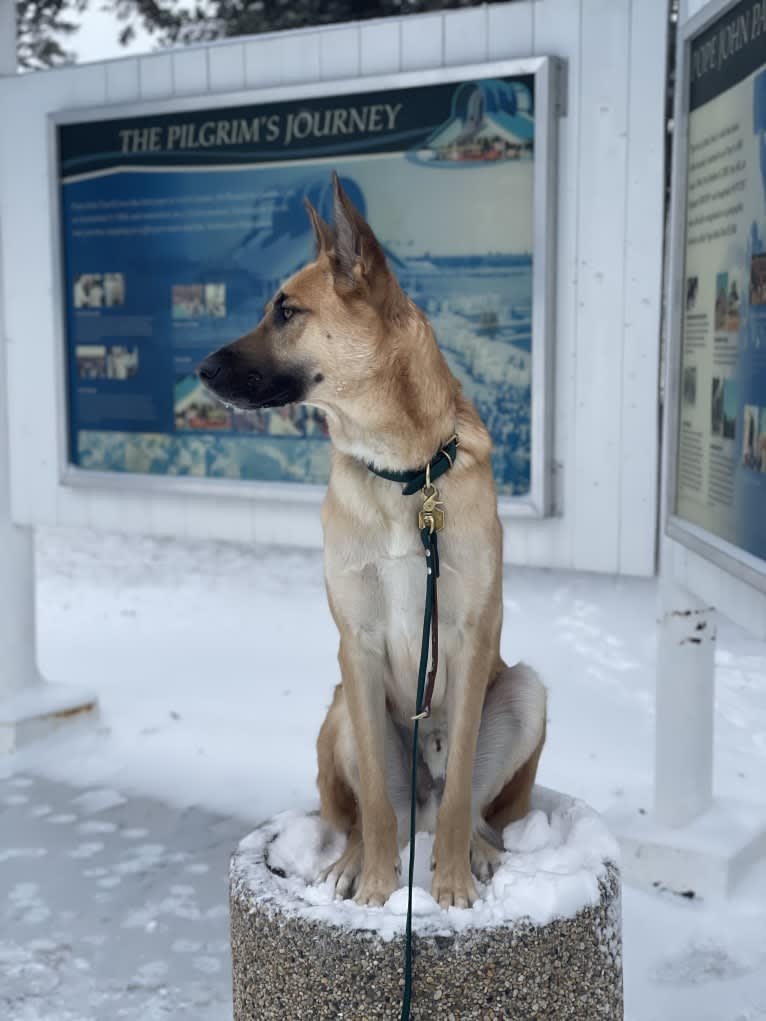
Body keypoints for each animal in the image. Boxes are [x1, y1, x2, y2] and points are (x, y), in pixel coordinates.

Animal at [198, 173, 547, 910]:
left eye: (286, 311)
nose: (201, 371)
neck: (403, 473)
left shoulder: (470, 635)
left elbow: (458, 792)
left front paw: (448, 885)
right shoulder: (354, 643)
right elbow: (378, 812)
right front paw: (382, 891)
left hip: (524, 688)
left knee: (468, 807)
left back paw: (472, 849)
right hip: (341, 709)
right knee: (368, 810)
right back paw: (356, 859)